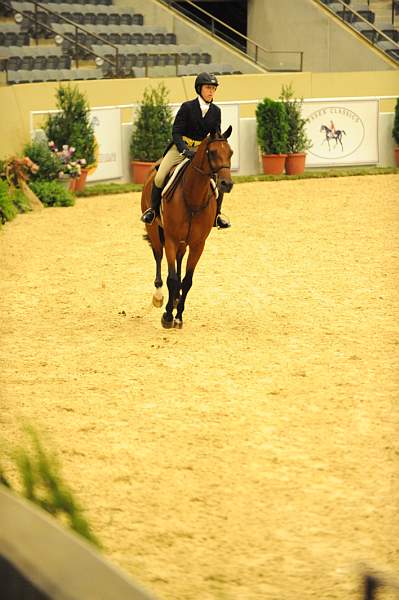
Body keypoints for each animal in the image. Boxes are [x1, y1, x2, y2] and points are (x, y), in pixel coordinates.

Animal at [141, 126, 234, 330]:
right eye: (212, 152)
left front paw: (178, 316)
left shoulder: (198, 244)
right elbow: (172, 278)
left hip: (184, 242)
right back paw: (159, 296)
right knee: (158, 257)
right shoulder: (171, 239)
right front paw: (168, 316)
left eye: (231, 152)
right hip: (154, 230)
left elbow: (187, 281)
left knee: (179, 260)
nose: (226, 184)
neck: (192, 197)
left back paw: (175, 298)